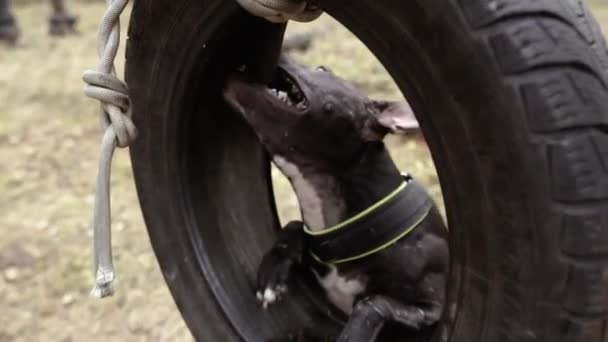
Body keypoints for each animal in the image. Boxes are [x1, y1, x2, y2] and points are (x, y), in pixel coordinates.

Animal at [226, 54, 448, 340]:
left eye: (323, 69)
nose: (283, 52)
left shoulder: (432, 307)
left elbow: (374, 302)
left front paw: (354, 333)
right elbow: (294, 226)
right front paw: (273, 271)